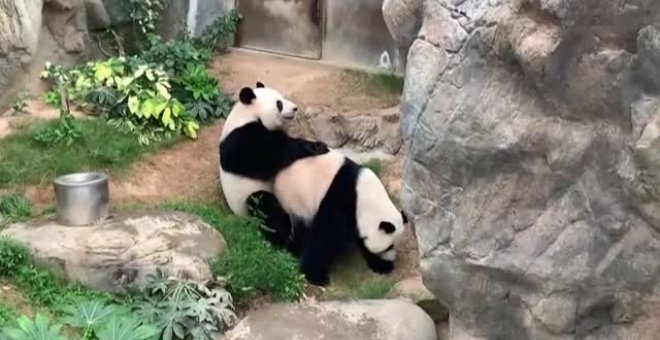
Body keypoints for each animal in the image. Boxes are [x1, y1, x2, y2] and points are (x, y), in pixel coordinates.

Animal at [218, 81, 328, 247]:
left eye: (282, 98)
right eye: (279, 103)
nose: (295, 108)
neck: (247, 114)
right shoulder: (242, 140)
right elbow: (274, 154)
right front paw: (317, 147)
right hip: (247, 200)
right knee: (265, 206)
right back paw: (286, 239)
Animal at [274, 147, 408, 286]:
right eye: (389, 246)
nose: (391, 259)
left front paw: (382, 265)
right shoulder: (340, 203)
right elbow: (325, 238)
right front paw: (316, 276)